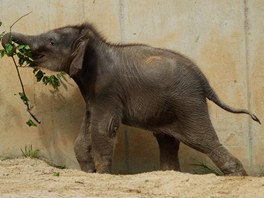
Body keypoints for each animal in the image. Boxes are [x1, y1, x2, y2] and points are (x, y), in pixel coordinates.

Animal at [2, 22, 260, 176]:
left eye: (52, 42)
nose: (7, 41)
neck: (93, 44)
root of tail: (203, 79)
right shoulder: (93, 94)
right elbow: (86, 131)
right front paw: (90, 174)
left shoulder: (107, 89)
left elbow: (102, 129)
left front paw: (103, 175)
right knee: (167, 140)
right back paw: (168, 174)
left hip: (187, 102)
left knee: (203, 140)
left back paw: (238, 177)